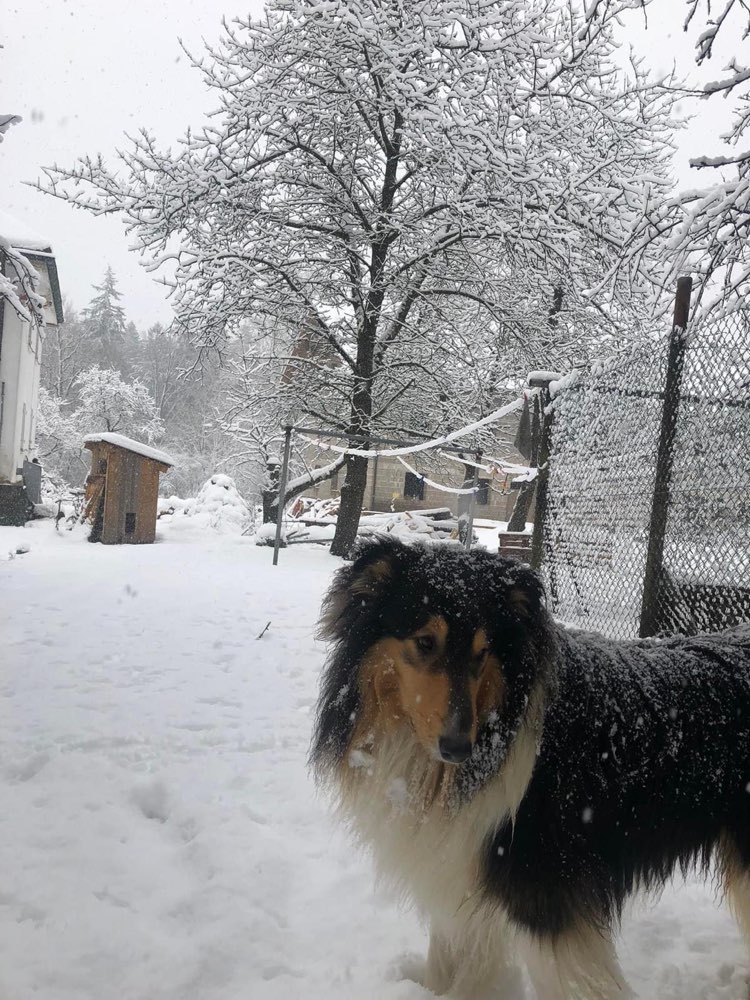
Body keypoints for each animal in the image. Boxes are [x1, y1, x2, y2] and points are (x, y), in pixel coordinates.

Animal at [310, 537, 750, 999]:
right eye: (425, 642)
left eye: (483, 651)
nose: (458, 748)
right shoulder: (461, 874)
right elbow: (452, 957)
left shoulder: (545, 892)